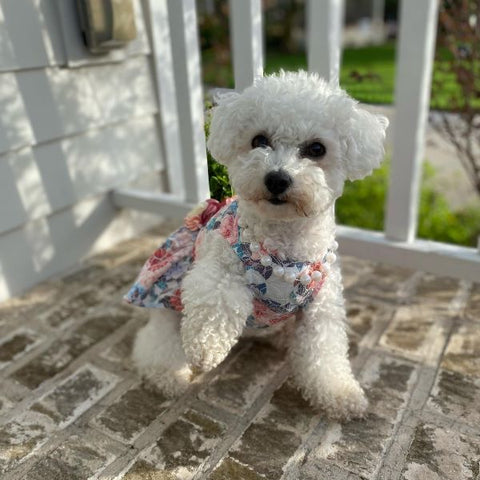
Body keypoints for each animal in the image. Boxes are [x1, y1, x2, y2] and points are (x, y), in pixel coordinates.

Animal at [125, 70, 388, 420]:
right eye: (259, 140)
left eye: (316, 148)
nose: (277, 179)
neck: (282, 249)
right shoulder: (218, 271)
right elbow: (216, 305)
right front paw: (205, 350)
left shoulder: (320, 306)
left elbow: (325, 351)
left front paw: (339, 394)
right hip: (166, 302)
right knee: (154, 343)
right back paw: (170, 375)